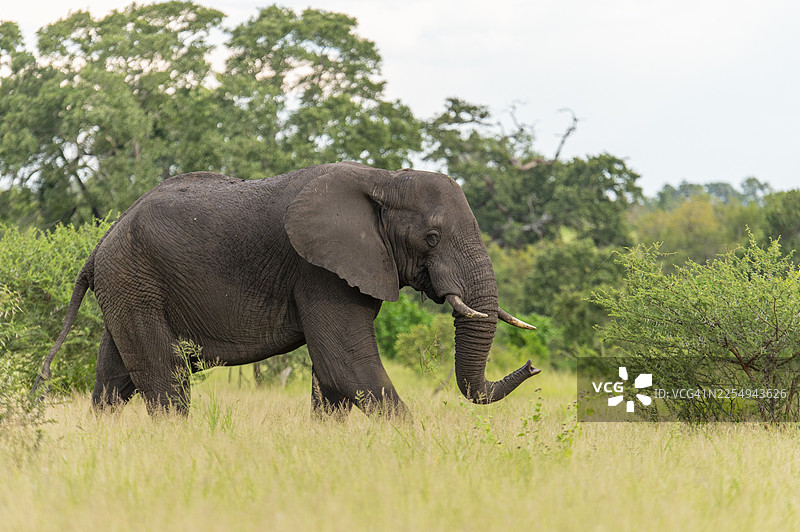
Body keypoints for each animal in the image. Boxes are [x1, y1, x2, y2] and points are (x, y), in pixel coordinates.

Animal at [34, 162, 541, 417]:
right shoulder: (318, 270)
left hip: (127, 286)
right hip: (134, 280)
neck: (384, 179)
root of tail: (100, 244)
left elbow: (331, 378)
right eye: (432, 238)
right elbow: (347, 367)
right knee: (164, 378)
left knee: (114, 380)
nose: (532, 366)